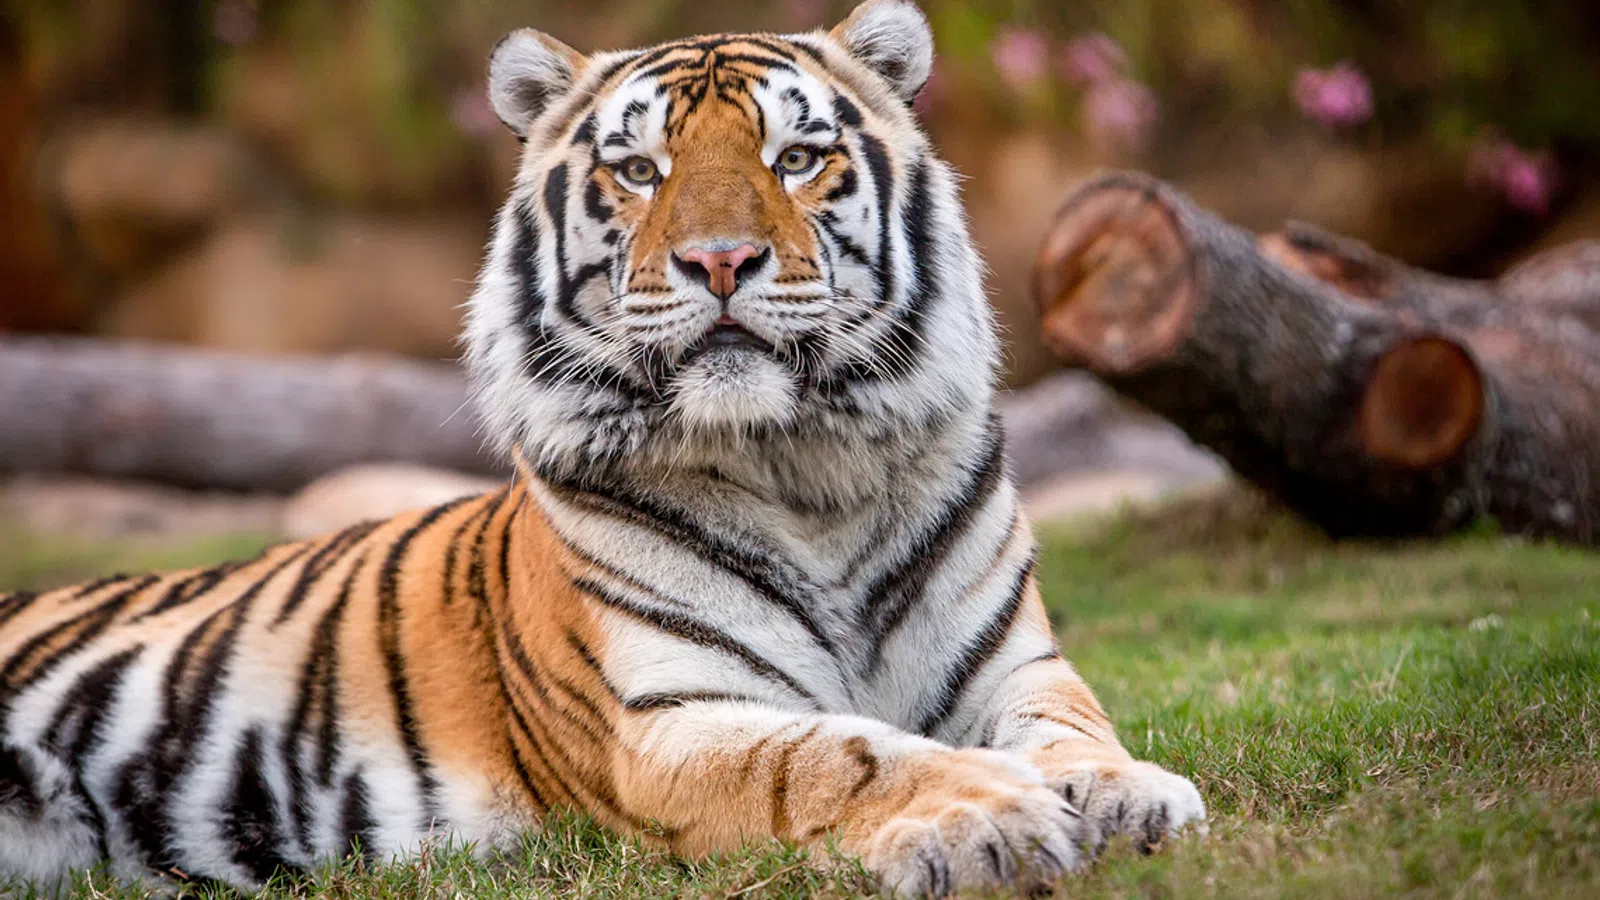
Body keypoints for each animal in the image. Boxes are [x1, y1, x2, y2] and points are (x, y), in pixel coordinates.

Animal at [0, 1, 1205, 895]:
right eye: (638, 171)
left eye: (797, 157)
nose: (720, 261)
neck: (808, 471)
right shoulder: (667, 725)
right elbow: (835, 756)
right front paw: (987, 814)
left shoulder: (1015, 666)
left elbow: (1073, 731)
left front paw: (1132, 794)